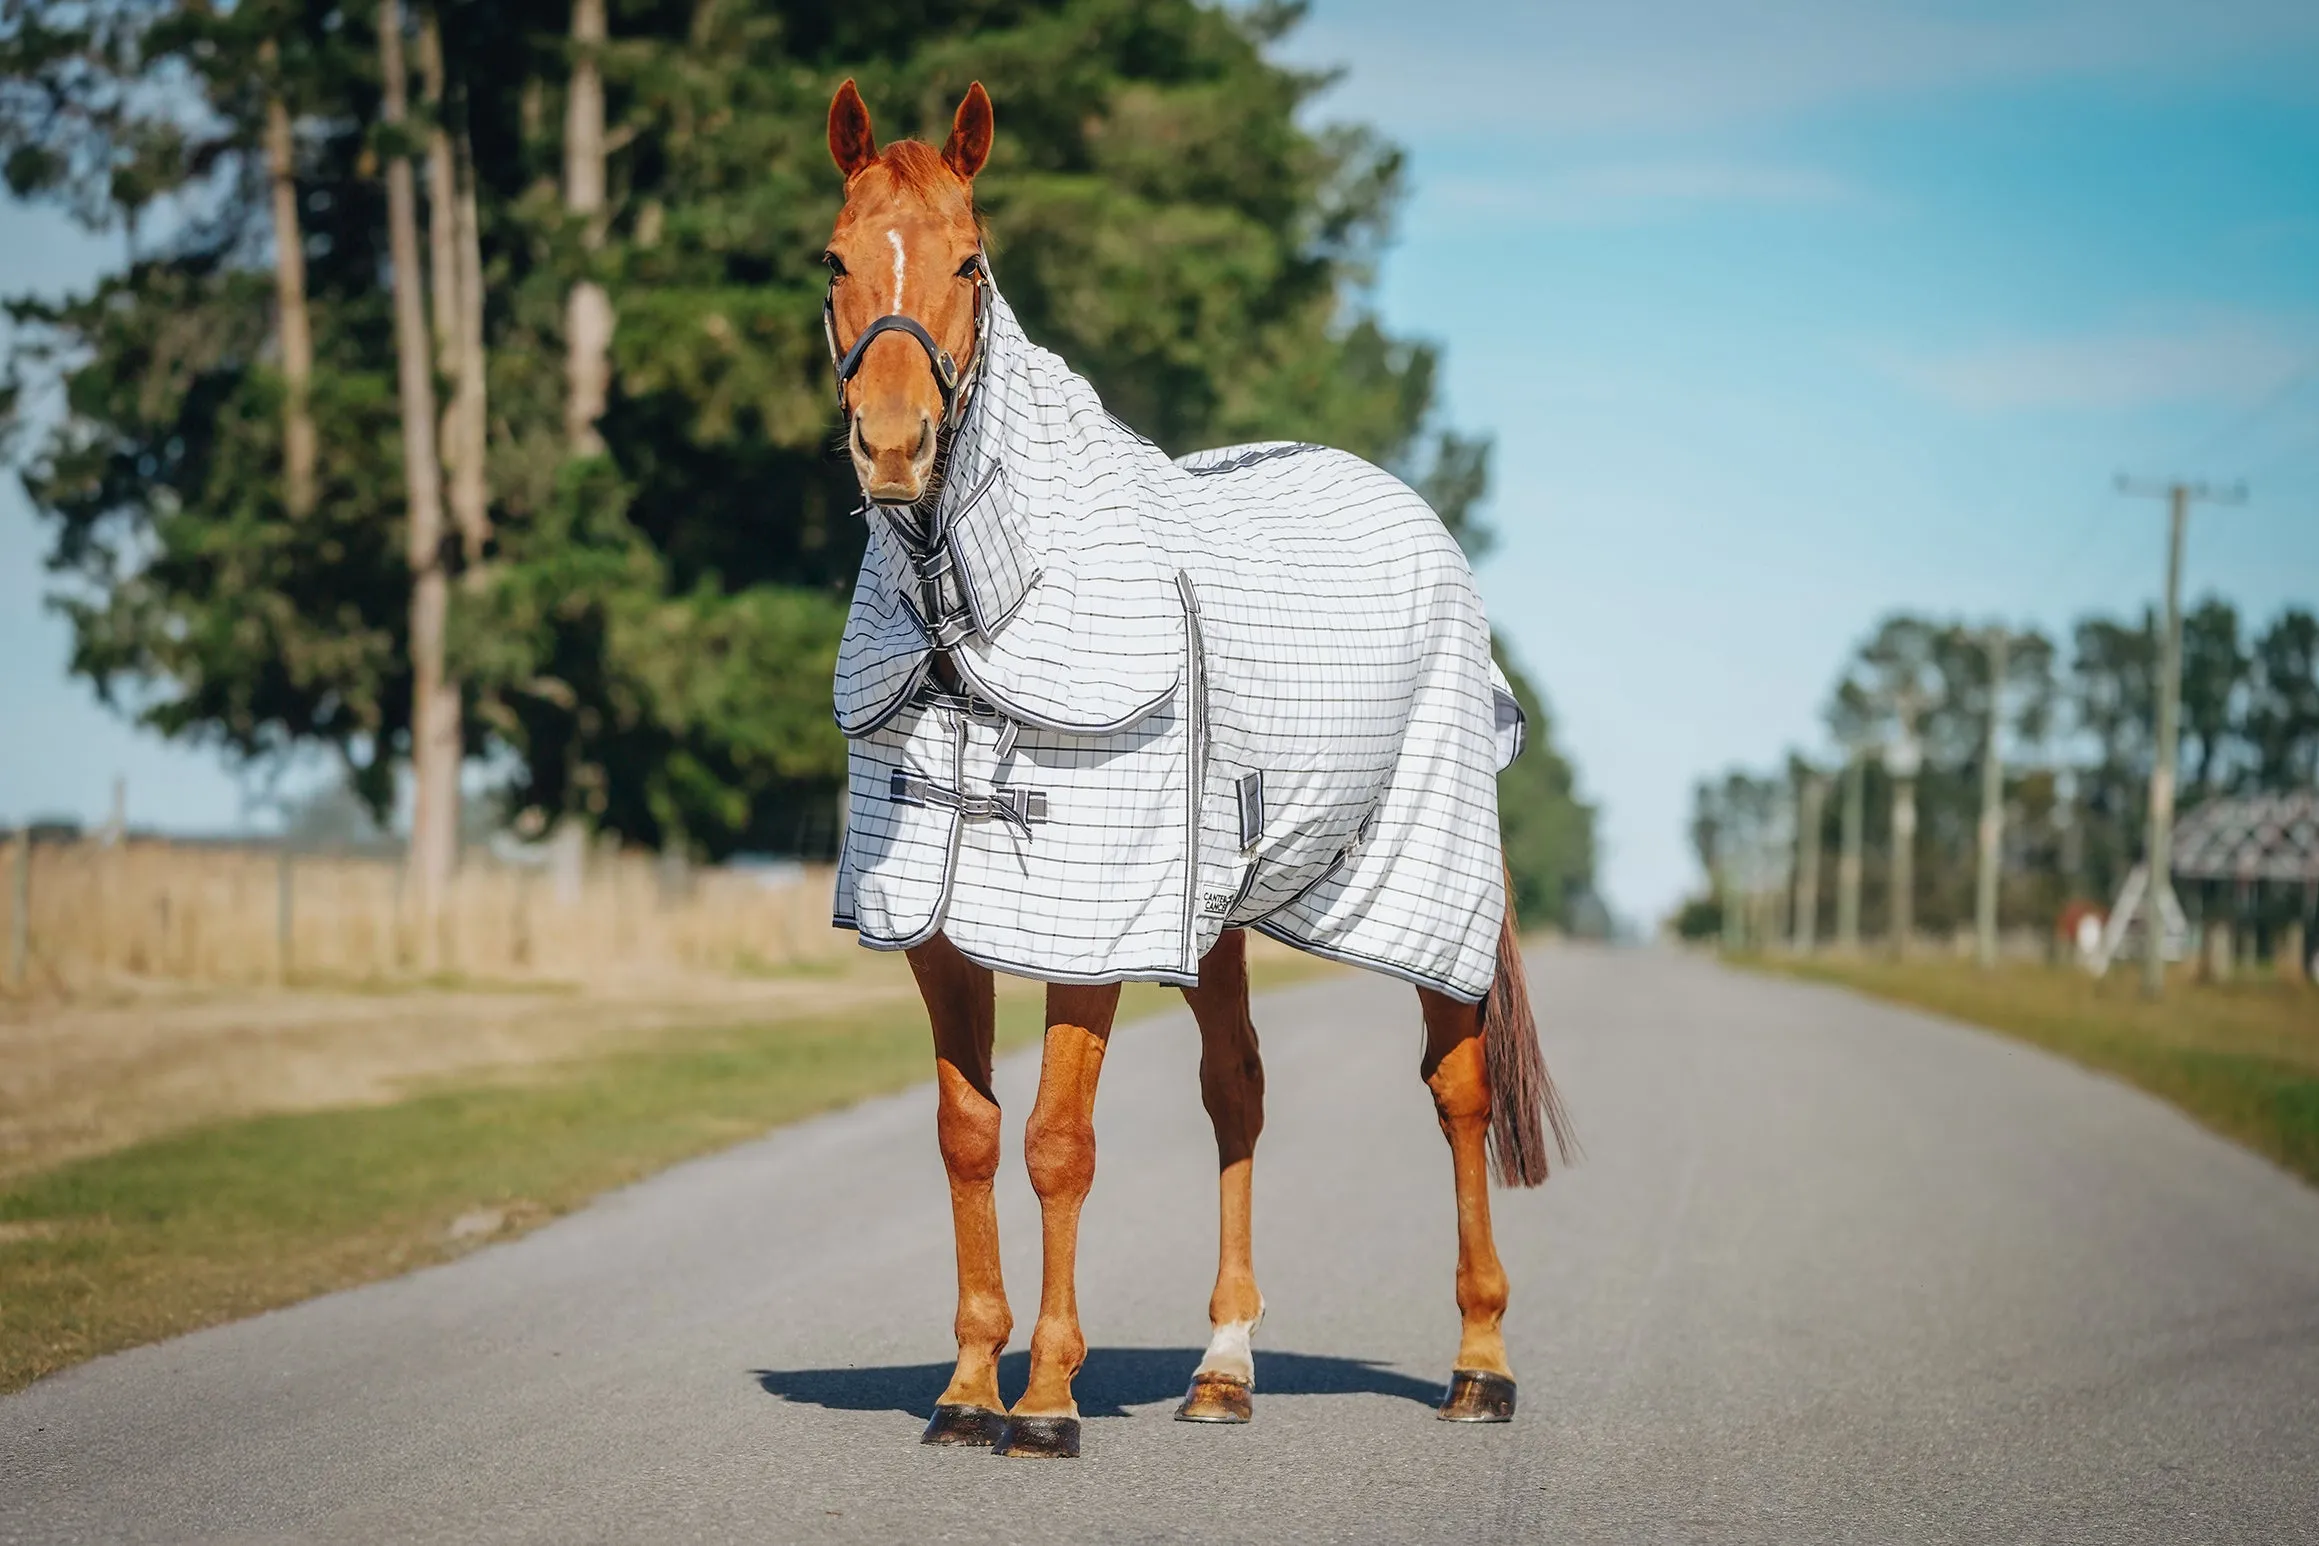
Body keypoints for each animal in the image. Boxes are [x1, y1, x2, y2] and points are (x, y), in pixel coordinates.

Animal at [820, 78, 1576, 1464]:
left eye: (970, 260)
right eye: (837, 260)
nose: (894, 446)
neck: (977, 616)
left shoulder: (1093, 925)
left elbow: (1058, 1143)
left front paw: (1047, 1404)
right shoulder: (939, 933)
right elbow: (970, 1136)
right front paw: (968, 1389)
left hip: (1431, 886)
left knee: (1458, 1092)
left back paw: (1480, 1364)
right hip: (1217, 909)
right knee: (1239, 1093)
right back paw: (1223, 1365)